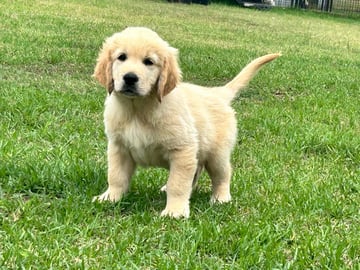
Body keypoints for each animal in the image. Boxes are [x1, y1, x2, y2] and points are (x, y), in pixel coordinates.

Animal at [92, 26, 278, 217]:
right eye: (121, 57)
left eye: (149, 62)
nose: (130, 78)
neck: (137, 109)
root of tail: (218, 92)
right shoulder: (119, 148)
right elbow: (116, 176)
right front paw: (110, 198)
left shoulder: (182, 149)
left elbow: (178, 183)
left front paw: (175, 212)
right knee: (196, 171)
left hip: (217, 154)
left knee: (223, 174)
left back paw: (221, 198)